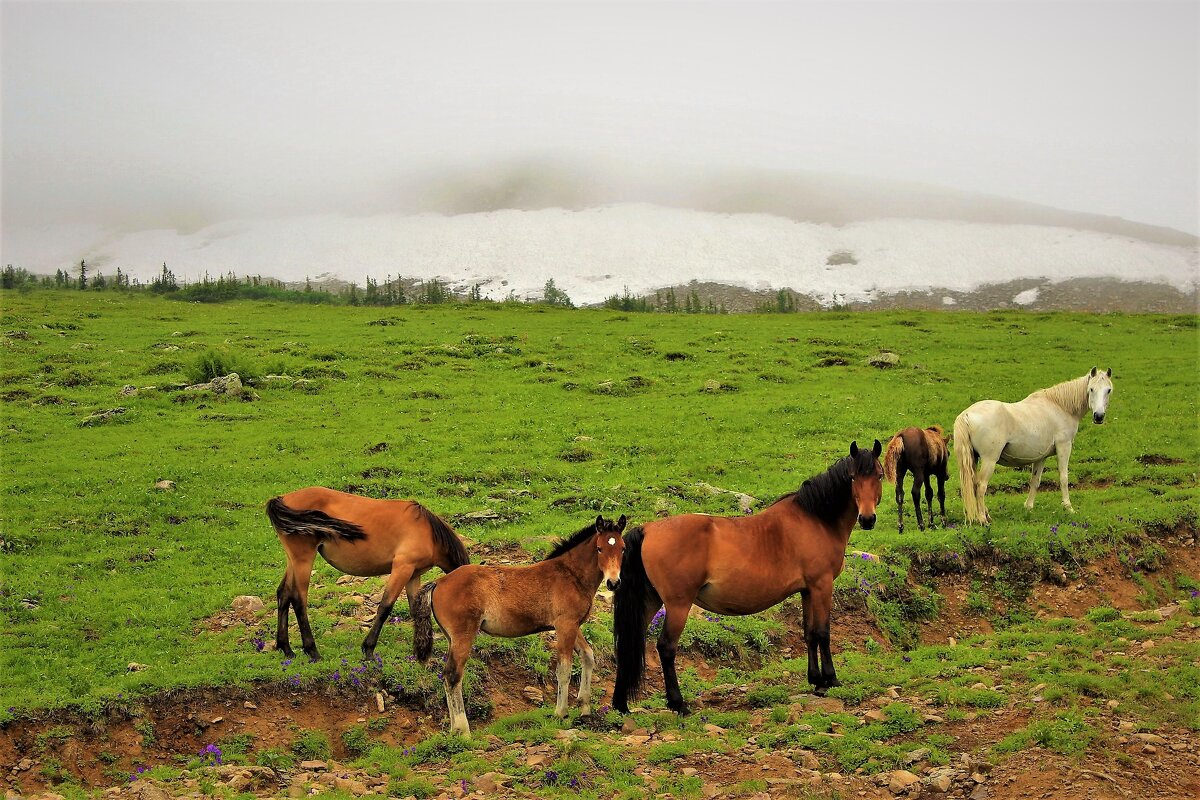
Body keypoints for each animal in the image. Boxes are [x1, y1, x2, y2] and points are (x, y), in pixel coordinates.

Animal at [267, 489, 468, 662]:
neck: (428, 533)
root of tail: (281, 499)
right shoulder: (402, 568)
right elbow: (385, 607)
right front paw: (369, 649)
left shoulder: (413, 575)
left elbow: (416, 610)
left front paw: (421, 652)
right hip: (304, 559)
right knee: (298, 600)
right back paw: (312, 651)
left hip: (293, 560)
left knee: (284, 594)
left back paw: (286, 649)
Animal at [412, 515, 628, 734]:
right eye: (600, 548)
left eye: (622, 548)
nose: (613, 583)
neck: (571, 575)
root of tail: (438, 582)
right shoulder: (565, 625)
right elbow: (564, 669)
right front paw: (561, 713)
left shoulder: (574, 625)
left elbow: (588, 656)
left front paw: (585, 709)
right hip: (463, 635)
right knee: (452, 675)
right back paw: (463, 731)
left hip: (451, 637)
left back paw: (453, 730)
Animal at [609, 443, 883, 714]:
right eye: (853, 477)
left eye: (879, 475)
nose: (868, 519)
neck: (815, 519)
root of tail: (646, 529)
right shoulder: (822, 586)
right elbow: (823, 632)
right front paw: (830, 679)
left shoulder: (807, 590)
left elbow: (810, 634)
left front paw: (816, 679)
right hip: (678, 605)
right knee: (666, 647)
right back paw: (678, 704)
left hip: (650, 601)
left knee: (628, 645)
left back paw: (621, 704)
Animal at [955, 369, 1113, 525]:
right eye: (1091, 389)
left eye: (1108, 390)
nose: (1098, 416)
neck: (1060, 407)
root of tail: (966, 414)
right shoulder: (1064, 447)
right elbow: (1064, 478)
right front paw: (1068, 508)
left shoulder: (1041, 457)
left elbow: (1035, 481)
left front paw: (1028, 507)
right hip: (989, 460)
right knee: (981, 486)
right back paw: (982, 518)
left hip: (974, 459)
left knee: (974, 484)